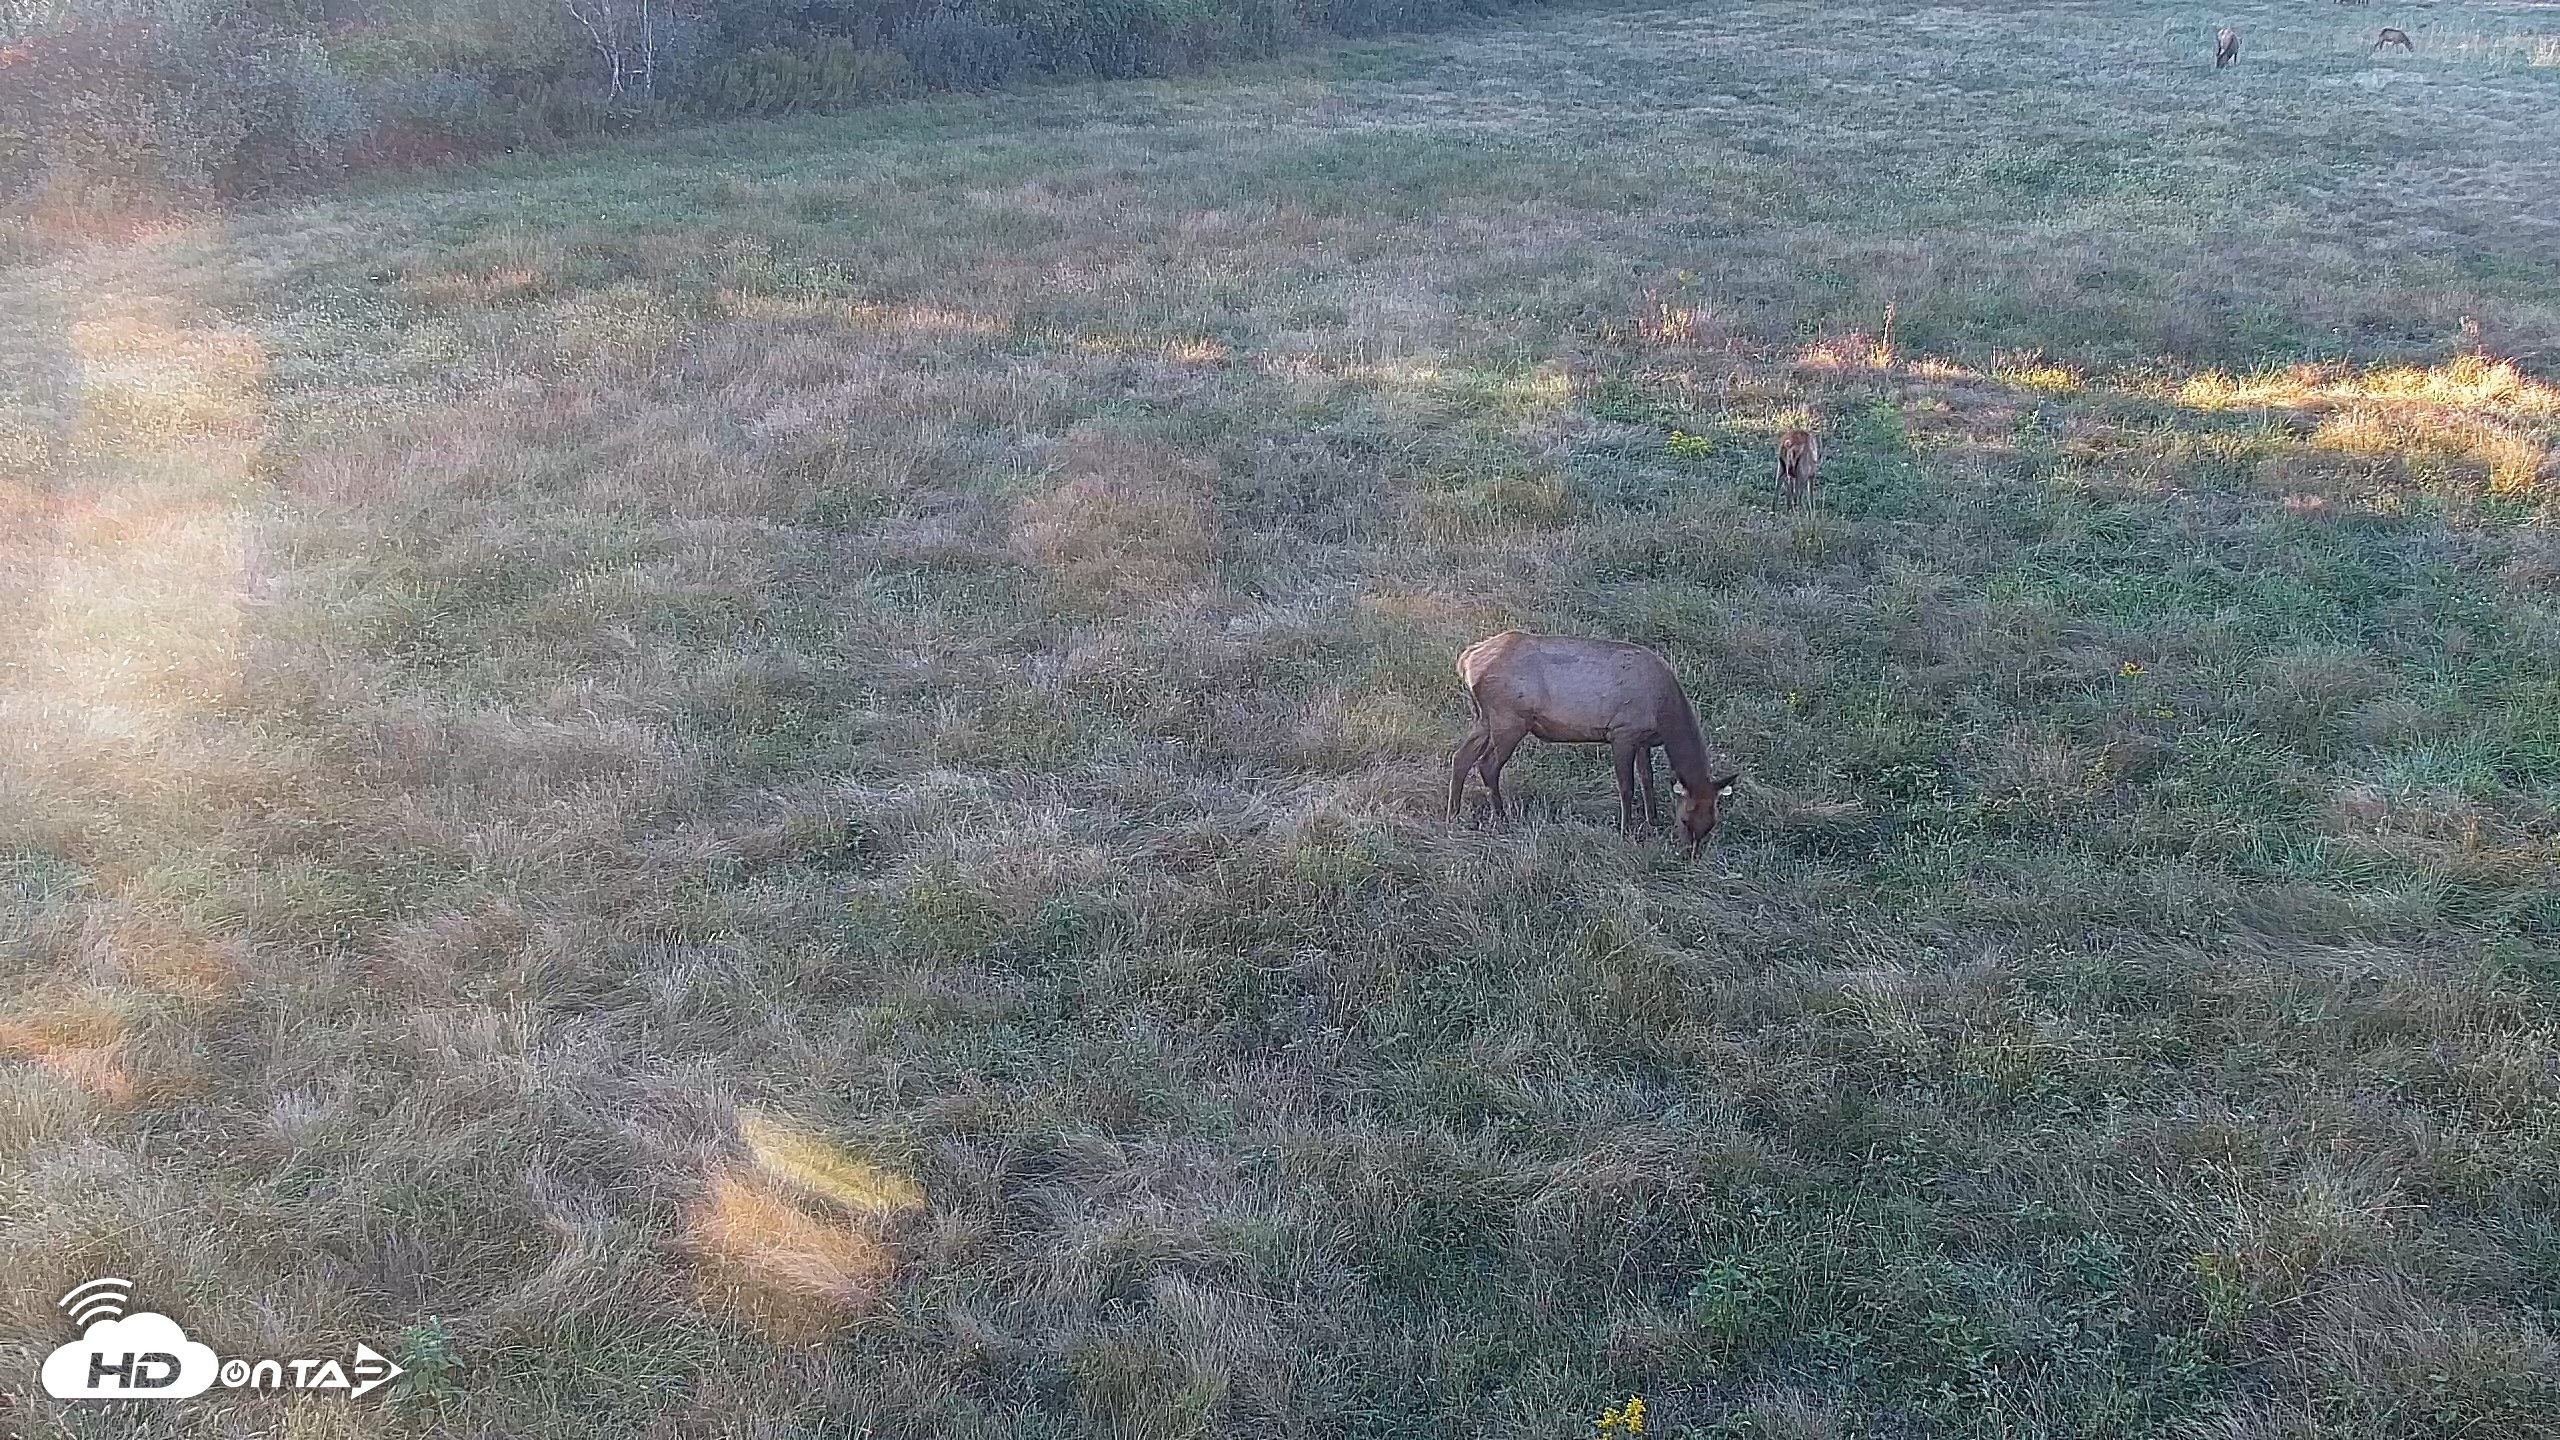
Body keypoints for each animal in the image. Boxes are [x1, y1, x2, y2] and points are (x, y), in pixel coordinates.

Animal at [1449, 630, 1740, 857]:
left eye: (1712, 822)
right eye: (1684, 819)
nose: (1691, 855)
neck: (1663, 712)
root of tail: (1467, 660)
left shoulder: (1643, 739)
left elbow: (1647, 779)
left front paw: (1653, 821)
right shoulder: (1622, 732)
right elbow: (1627, 786)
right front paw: (1626, 831)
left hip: (1485, 717)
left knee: (1461, 757)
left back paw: (1453, 814)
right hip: (1510, 717)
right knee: (1487, 765)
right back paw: (1501, 819)